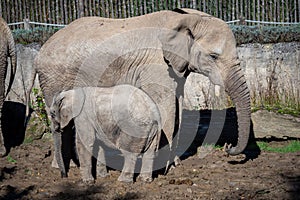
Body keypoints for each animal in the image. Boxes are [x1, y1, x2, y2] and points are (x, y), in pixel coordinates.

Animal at [32, 7, 252, 168]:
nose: (228, 147)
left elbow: (177, 107)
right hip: (54, 77)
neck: (187, 18)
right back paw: (62, 167)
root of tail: (41, 50)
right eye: (213, 56)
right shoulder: (157, 63)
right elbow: (166, 107)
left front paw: (175, 163)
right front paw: (168, 166)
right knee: (60, 122)